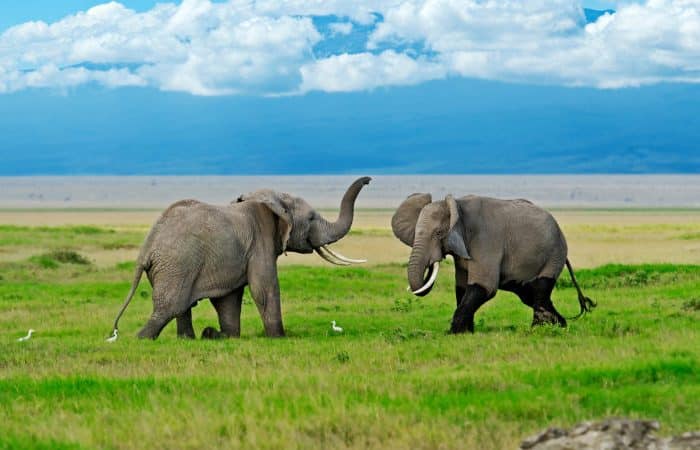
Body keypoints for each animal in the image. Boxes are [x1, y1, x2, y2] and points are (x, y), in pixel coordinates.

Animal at [109, 176, 372, 338]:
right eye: (311, 218)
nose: (369, 180)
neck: (273, 200)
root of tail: (148, 246)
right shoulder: (260, 242)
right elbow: (264, 288)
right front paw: (279, 337)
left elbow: (229, 298)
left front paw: (225, 335)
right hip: (177, 264)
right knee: (169, 307)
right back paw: (141, 339)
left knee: (181, 307)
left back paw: (192, 338)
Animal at [392, 193, 592, 334]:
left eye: (439, 233)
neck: (457, 205)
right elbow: (462, 288)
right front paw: (466, 333)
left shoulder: (485, 240)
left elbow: (484, 286)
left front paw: (452, 333)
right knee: (529, 294)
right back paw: (560, 325)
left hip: (554, 254)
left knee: (540, 290)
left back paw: (538, 330)